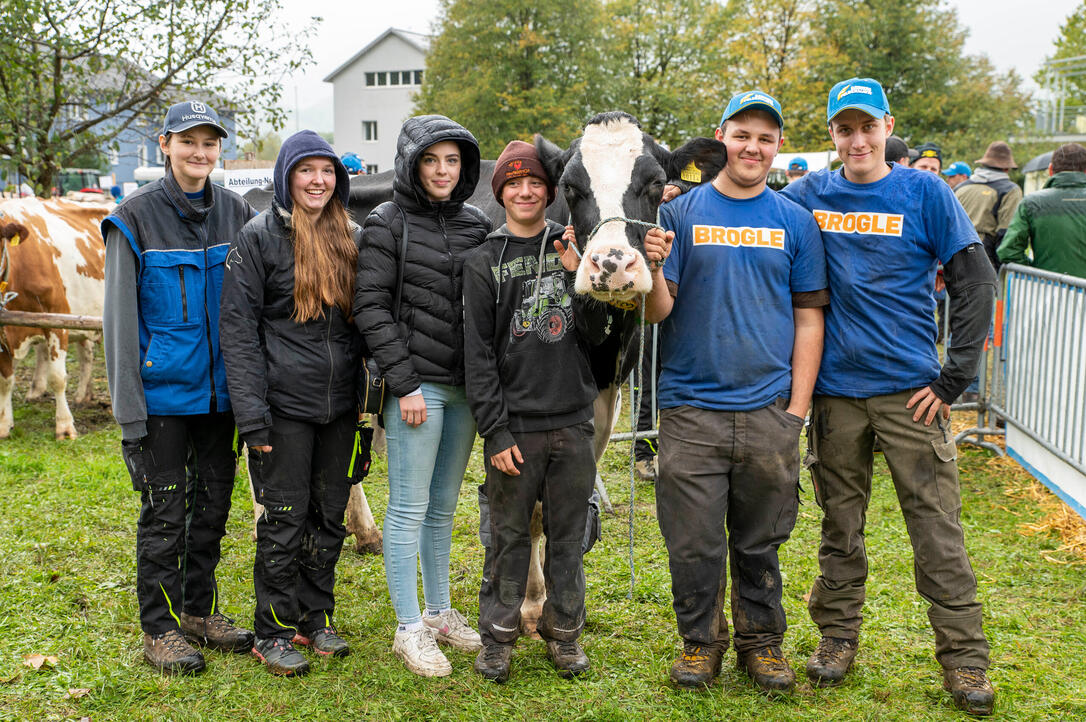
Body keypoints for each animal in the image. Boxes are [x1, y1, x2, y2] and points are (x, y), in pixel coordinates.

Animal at [0, 194, 109, 438]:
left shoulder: (58, 322)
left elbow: (58, 378)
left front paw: (65, 427)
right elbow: (6, 378)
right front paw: (4, 425)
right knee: (87, 354)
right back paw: (83, 396)